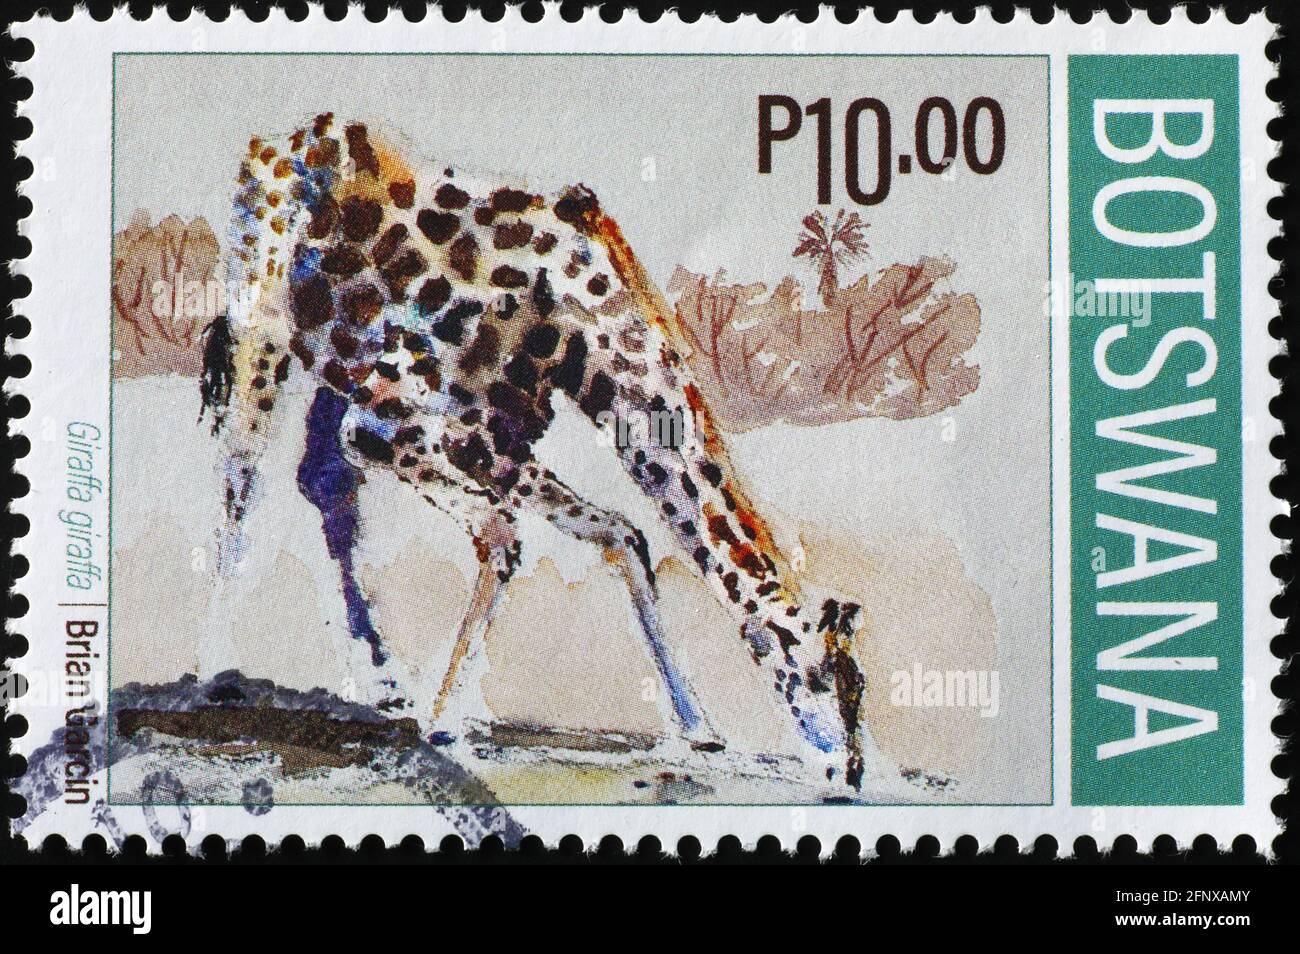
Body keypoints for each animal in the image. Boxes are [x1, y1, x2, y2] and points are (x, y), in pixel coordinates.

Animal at [199, 113, 891, 790]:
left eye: (860, 687)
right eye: (818, 676)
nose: (852, 769)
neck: (584, 324)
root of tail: (281, 140)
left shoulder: (503, 440)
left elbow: (621, 535)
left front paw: (699, 726)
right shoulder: (393, 424)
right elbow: (505, 540)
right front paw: (444, 720)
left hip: (334, 370)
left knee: (323, 486)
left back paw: (385, 679)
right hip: (263, 328)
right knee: (241, 475)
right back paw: (219, 671)